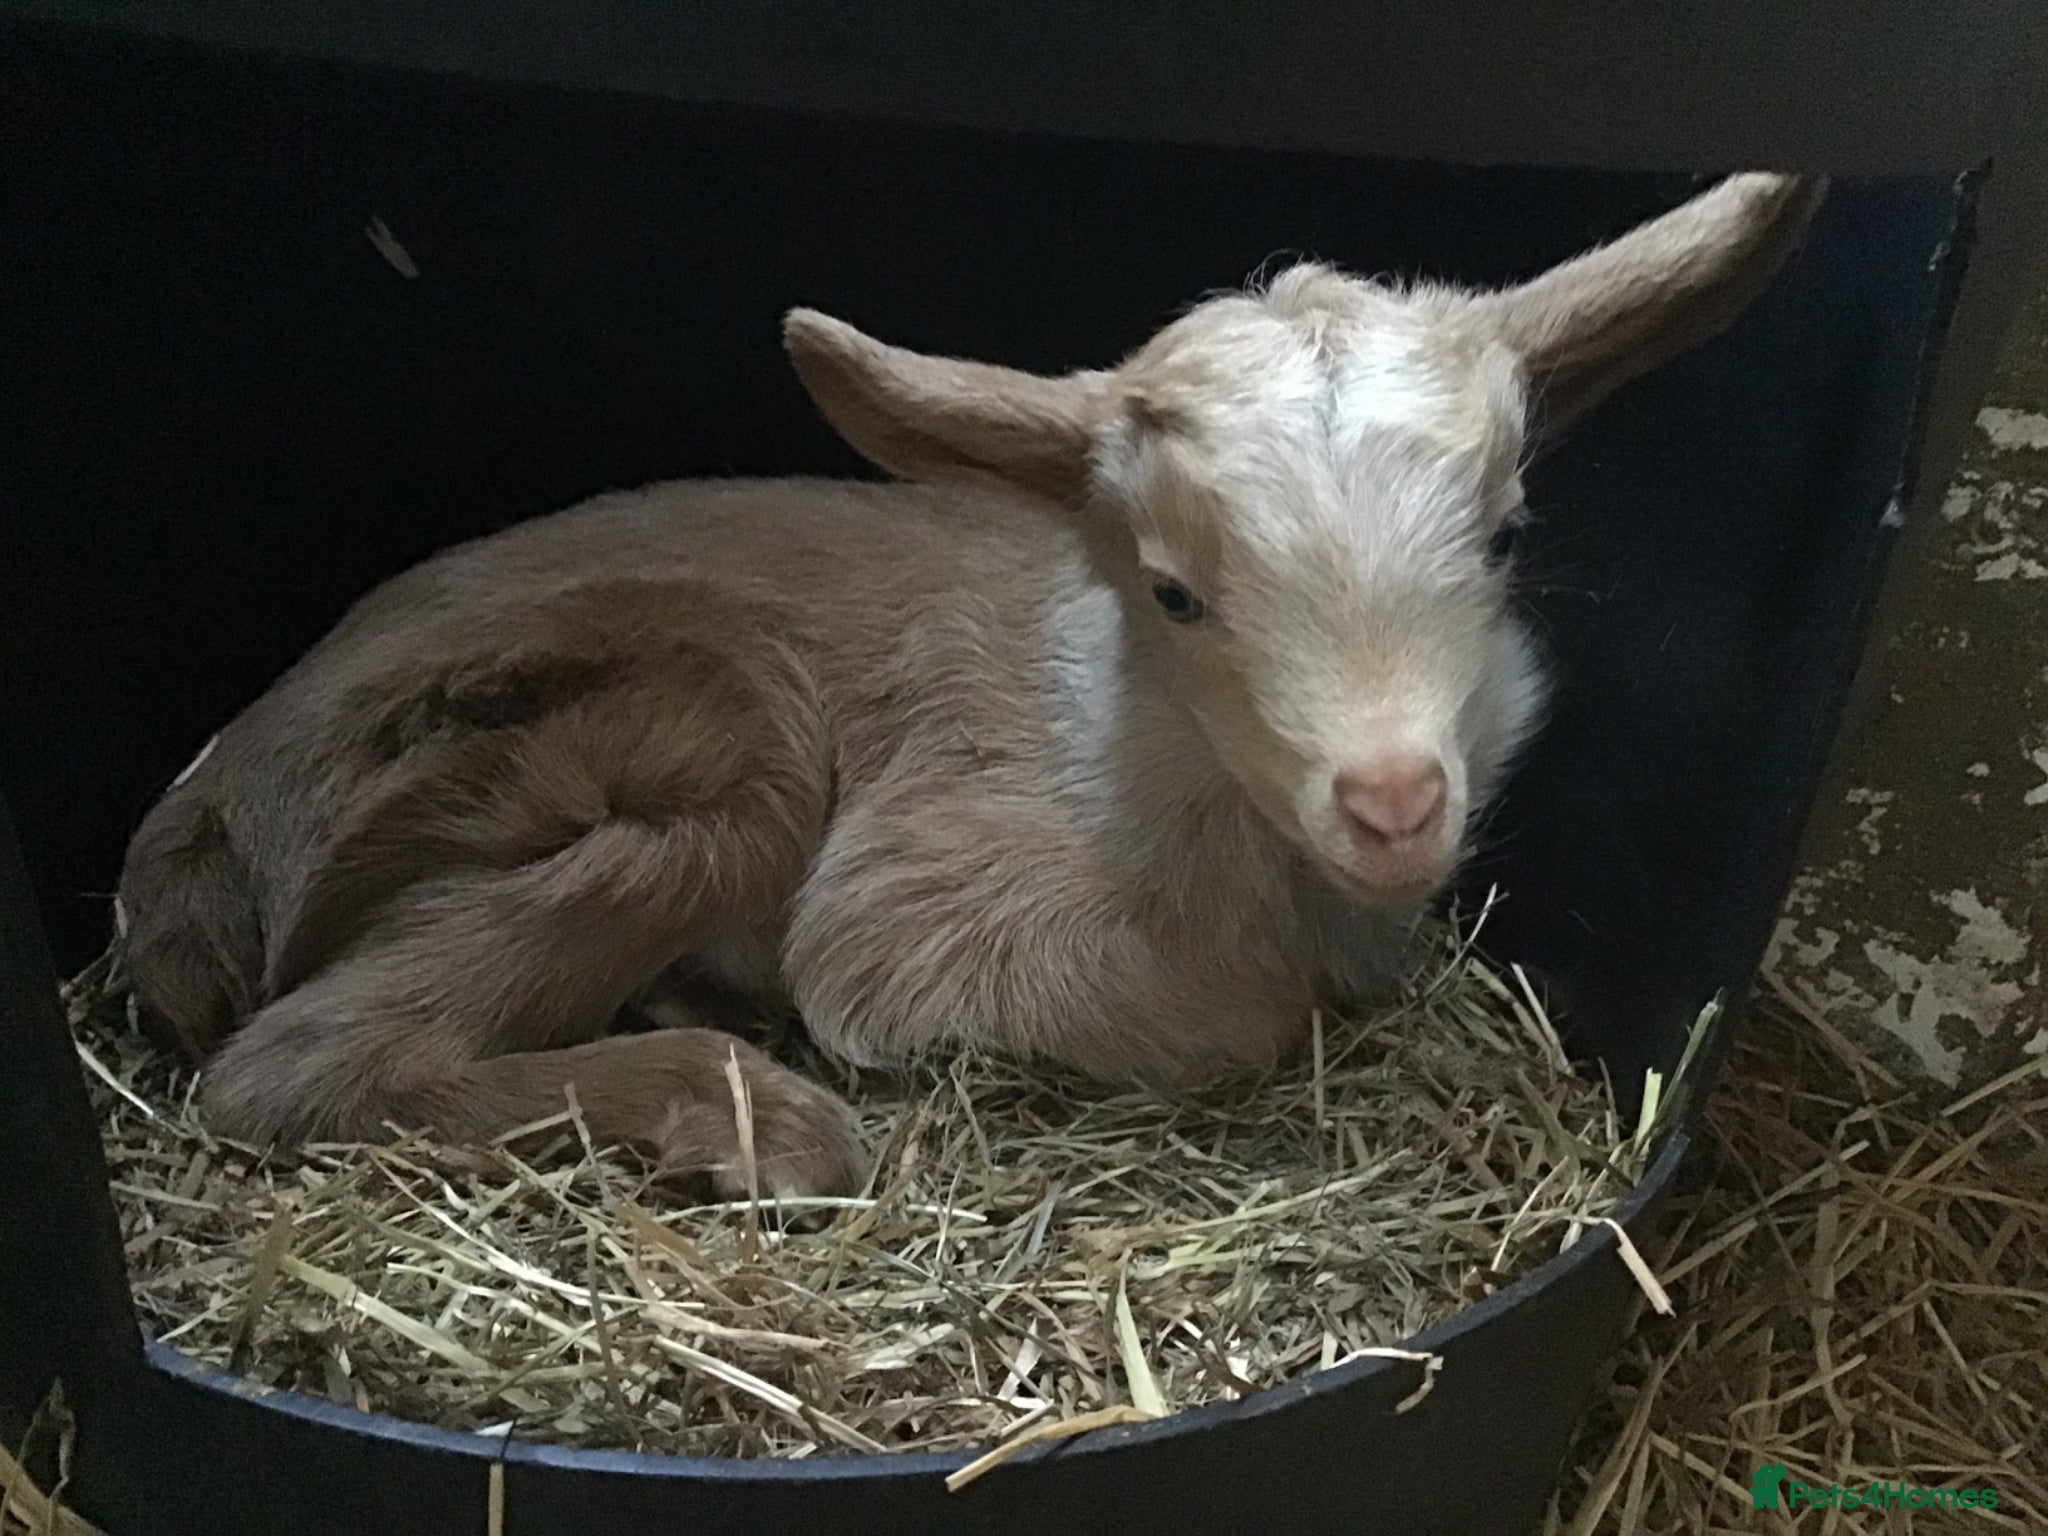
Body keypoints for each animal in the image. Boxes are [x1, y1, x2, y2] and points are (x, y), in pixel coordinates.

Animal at [116, 173, 1823, 1198]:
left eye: (1505, 529)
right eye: (1174, 589)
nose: (1396, 802)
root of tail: (193, 838)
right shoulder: (921, 908)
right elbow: (1238, 1016)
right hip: (710, 742)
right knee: (293, 1067)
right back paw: (758, 1117)